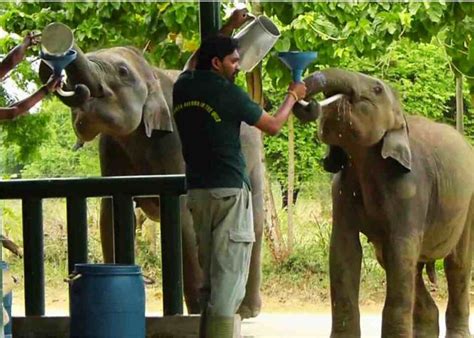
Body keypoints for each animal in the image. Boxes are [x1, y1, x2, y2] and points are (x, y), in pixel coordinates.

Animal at [38, 46, 262, 318]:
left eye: (123, 71)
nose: (65, 81)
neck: (153, 72)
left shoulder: (175, 140)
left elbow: (184, 218)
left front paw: (197, 312)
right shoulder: (110, 150)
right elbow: (109, 214)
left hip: (255, 163)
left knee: (254, 226)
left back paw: (247, 311)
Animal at [294, 67, 472, 336]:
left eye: (377, 89)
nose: (309, 102)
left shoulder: (410, 189)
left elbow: (401, 249)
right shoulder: (341, 190)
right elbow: (344, 251)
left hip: (469, 206)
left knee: (457, 264)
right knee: (403, 266)